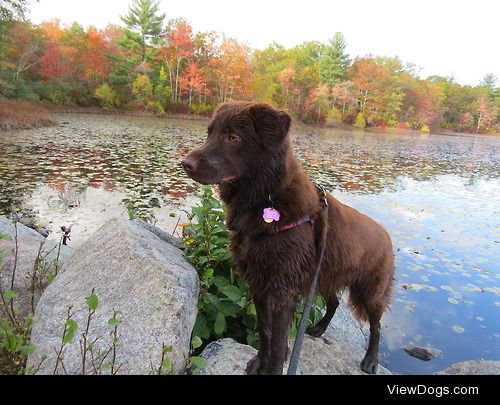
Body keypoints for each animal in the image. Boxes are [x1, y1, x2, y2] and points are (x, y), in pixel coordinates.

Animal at [182, 102, 396, 374]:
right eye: (209, 133)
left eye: (233, 137)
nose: (185, 163)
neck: (266, 200)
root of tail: (386, 235)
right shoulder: (259, 285)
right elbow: (265, 332)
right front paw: (259, 362)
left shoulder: (283, 292)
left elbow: (278, 343)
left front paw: (273, 366)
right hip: (325, 276)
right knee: (334, 303)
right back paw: (319, 328)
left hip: (370, 292)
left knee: (376, 326)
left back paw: (371, 359)